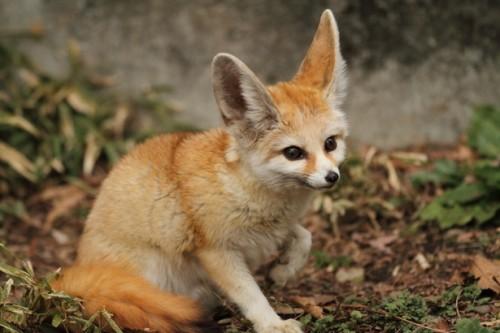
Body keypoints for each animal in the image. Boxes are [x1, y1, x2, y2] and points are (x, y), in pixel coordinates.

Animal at [51, 9, 348, 332]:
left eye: (330, 144)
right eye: (293, 153)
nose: (332, 177)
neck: (242, 185)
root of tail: (77, 271)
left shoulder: (272, 229)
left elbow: (305, 236)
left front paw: (284, 270)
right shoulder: (217, 252)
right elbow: (251, 294)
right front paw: (272, 324)